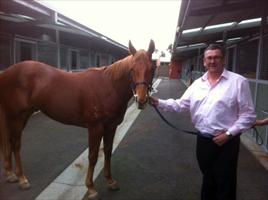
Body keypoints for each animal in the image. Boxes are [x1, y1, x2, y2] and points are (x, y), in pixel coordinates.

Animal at [0, 40, 155, 198]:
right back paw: (22, 179)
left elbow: (108, 151)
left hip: (22, 116)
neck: (108, 87)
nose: (141, 100)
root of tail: (6, 73)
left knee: (9, 141)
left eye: (152, 68)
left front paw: (110, 181)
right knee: (16, 144)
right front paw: (91, 188)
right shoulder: (95, 128)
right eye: (132, 69)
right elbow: (93, 156)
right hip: (16, 116)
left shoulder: (111, 127)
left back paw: (11, 174)